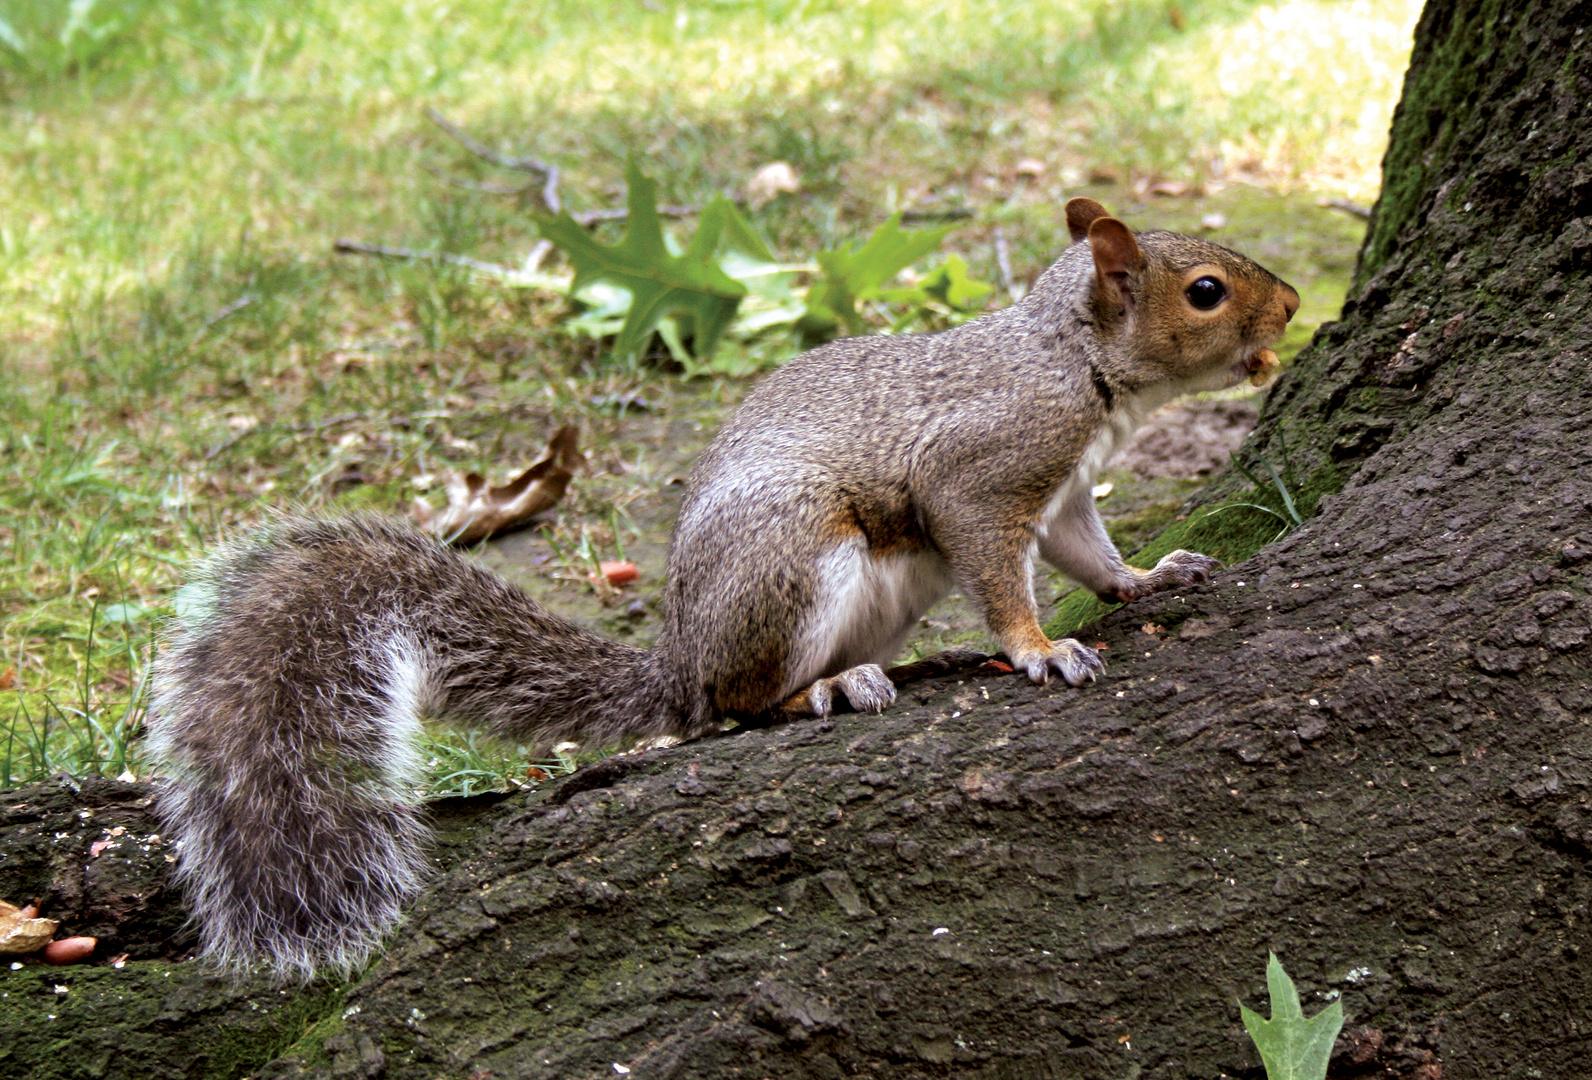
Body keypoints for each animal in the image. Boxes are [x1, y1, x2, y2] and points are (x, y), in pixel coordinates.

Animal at [146, 194, 1292, 981]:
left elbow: (1092, 558)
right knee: (736, 707)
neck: (1072, 363)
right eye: (1205, 291)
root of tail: (680, 660)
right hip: (794, 566)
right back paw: (820, 689)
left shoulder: (1060, 498)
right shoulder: (982, 474)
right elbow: (997, 570)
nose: (1289, 303)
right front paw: (1036, 648)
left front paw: (1152, 576)